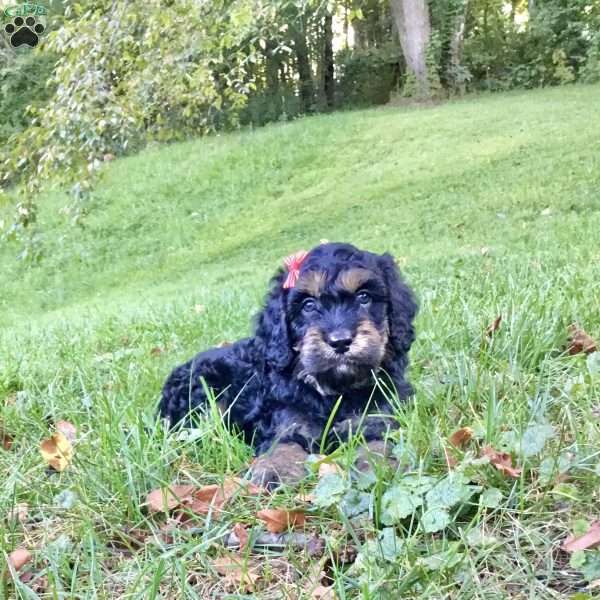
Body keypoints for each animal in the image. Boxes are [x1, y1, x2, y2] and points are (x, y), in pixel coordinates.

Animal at [159, 241, 418, 486]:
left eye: (364, 297)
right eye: (308, 305)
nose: (340, 341)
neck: (335, 390)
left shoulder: (380, 414)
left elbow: (379, 439)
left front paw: (378, 467)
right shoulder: (286, 417)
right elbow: (282, 443)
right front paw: (276, 470)